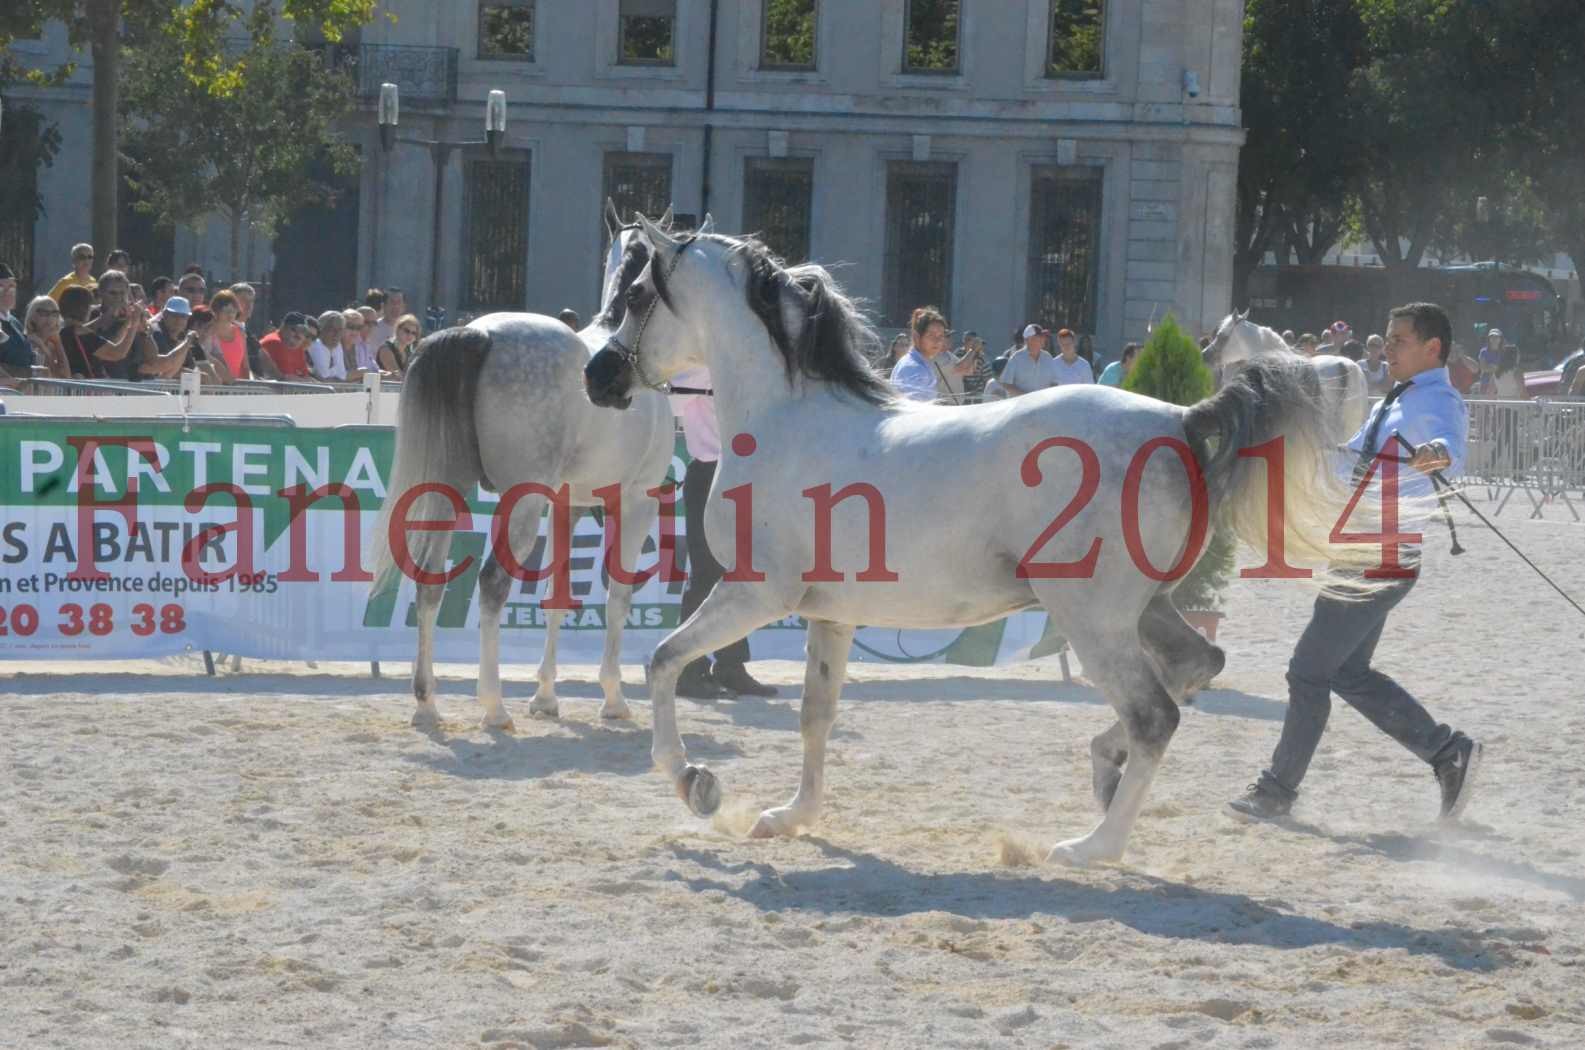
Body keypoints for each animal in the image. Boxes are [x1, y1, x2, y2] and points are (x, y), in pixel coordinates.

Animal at [370, 206, 687, 732]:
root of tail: (478, 334)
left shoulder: (567, 506)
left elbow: (559, 595)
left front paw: (545, 696)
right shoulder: (634, 501)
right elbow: (617, 597)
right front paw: (612, 697)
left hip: (448, 490)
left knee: (430, 583)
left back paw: (427, 703)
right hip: (522, 502)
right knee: (493, 584)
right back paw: (493, 706)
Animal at [583, 217, 1375, 869]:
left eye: (635, 297)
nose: (598, 377)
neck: (788, 419)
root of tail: (1181, 420)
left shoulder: (755, 593)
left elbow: (662, 662)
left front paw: (696, 784)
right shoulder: (829, 613)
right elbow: (816, 715)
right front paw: (789, 816)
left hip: (1093, 619)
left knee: (1155, 715)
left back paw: (1091, 847)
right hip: (1142, 609)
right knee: (1196, 666)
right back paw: (1102, 768)